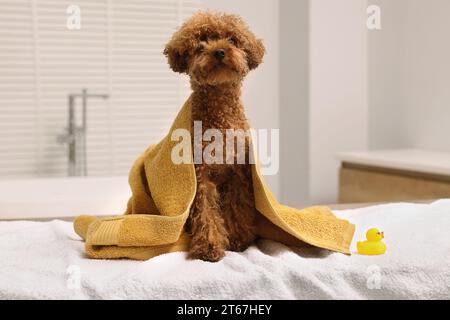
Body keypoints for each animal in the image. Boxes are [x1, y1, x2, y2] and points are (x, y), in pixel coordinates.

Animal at [164, 11, 264, 262]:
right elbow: (206, 212)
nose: (219, 51)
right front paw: (209, 247)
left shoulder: (238, 172)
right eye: (202, 41)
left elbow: (237, 206)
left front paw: (238, 239)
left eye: (232, 40)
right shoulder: (201, 175)